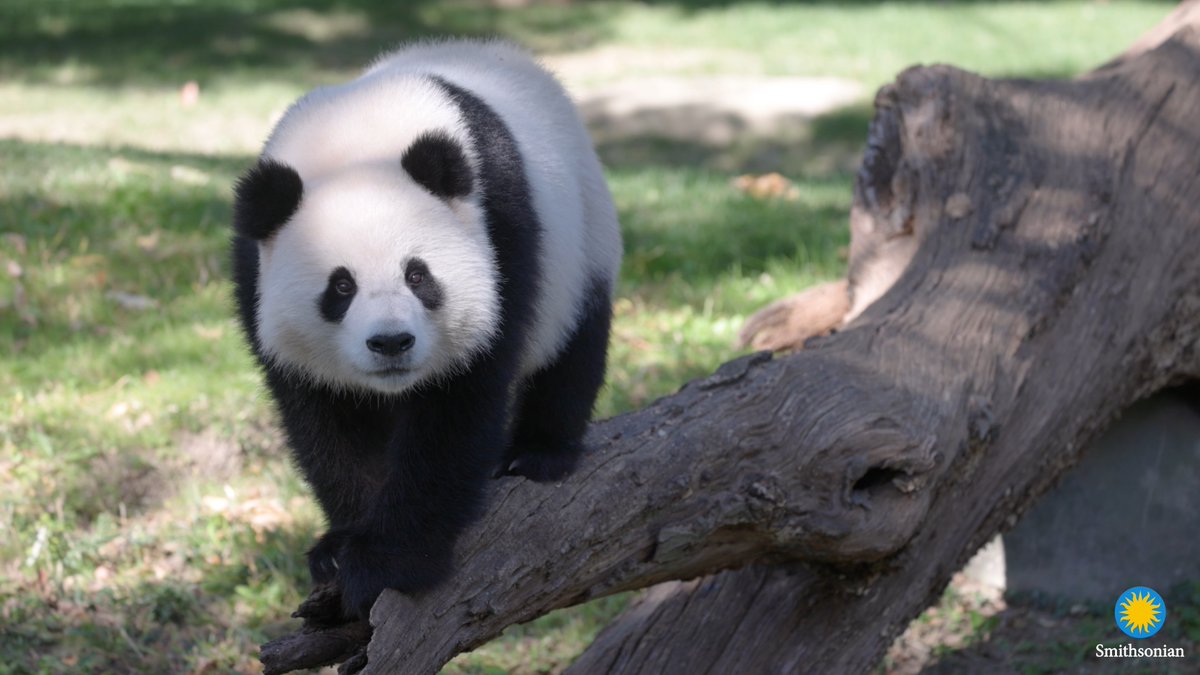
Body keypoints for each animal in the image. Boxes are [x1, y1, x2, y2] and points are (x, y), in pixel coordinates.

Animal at [230, 39, 622, 622]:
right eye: (340, 286)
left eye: (417, 275)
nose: (391, 342)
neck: (356, 145)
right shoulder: (254, 273)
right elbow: (324, 417)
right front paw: (339, 548)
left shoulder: (500, 233)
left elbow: (458, 404)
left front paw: (386, 562)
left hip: (583, 236)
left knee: (575, 348)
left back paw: (539, 452)